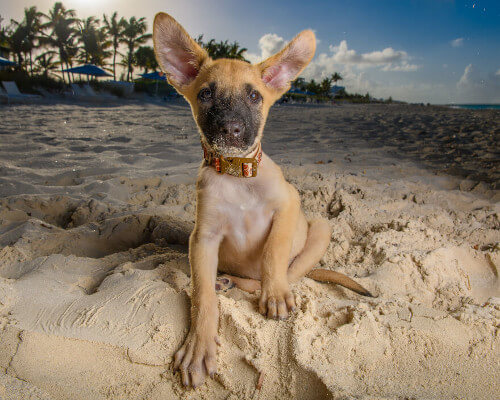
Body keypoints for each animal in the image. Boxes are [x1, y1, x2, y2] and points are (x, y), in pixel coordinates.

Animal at [152, 12, 372, 388]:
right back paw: (224, 281)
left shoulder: (287, 207)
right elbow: (202, 297)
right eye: (206, 94)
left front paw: (275, 295)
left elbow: (273, 251)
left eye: (254, 95)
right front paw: (198, 346)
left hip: (321, 229)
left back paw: (263, 287)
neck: (238, 175)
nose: (231, 129)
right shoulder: (202, 238)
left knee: (283, 274)